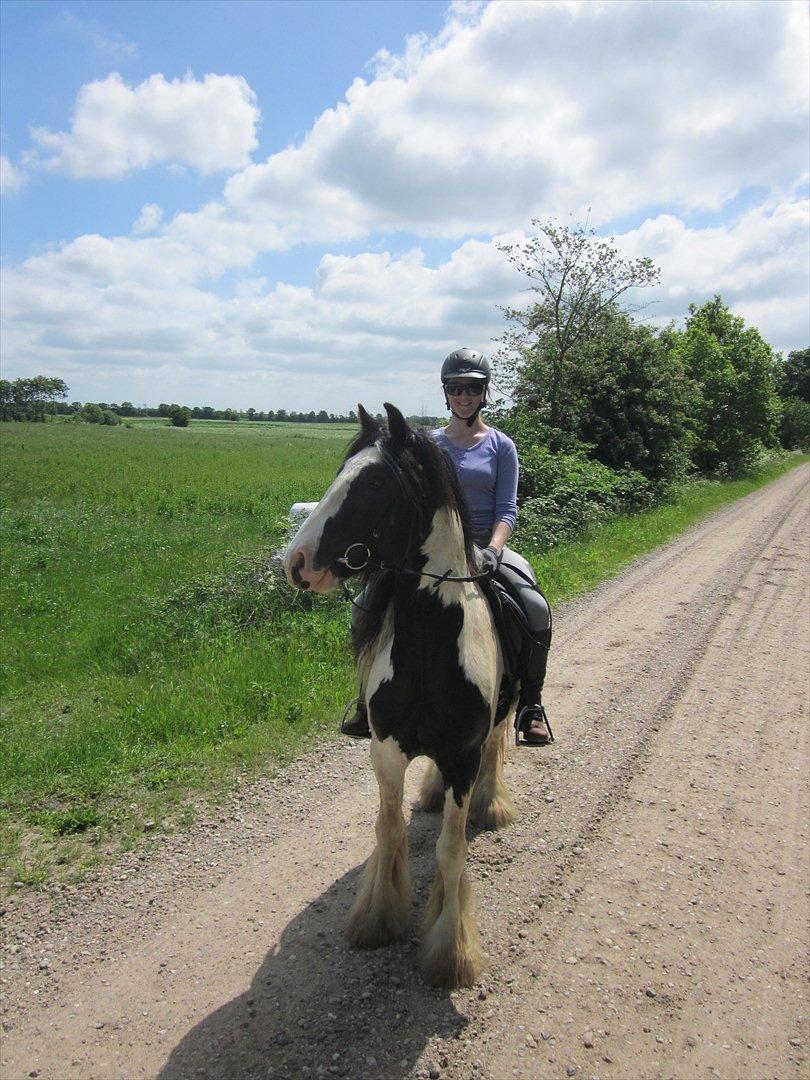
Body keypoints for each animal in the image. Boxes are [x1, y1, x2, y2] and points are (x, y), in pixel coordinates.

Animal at [282, 403, 516, 989]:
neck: (430, 649)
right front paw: (376, 918)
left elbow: (451, 852)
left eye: (374, 482)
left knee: (496, 749)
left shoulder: (461, 757)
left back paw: (491, 804)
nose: (296, 561)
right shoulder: (385, 751)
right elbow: (388, 832)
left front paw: (451, 951)